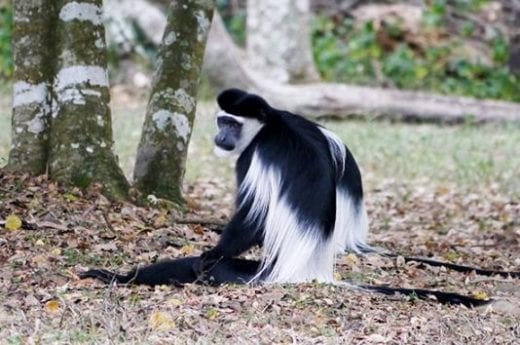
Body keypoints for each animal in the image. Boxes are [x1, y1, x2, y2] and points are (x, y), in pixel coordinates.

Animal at [81, 88, 516, 306]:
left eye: (229, 124)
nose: (219, 136)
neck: (270, 123)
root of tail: (310, 271)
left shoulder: (255, 156)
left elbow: (251, 218)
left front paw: (211, 252)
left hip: (262, 273)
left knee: (192, 266)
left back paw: (116, 276)